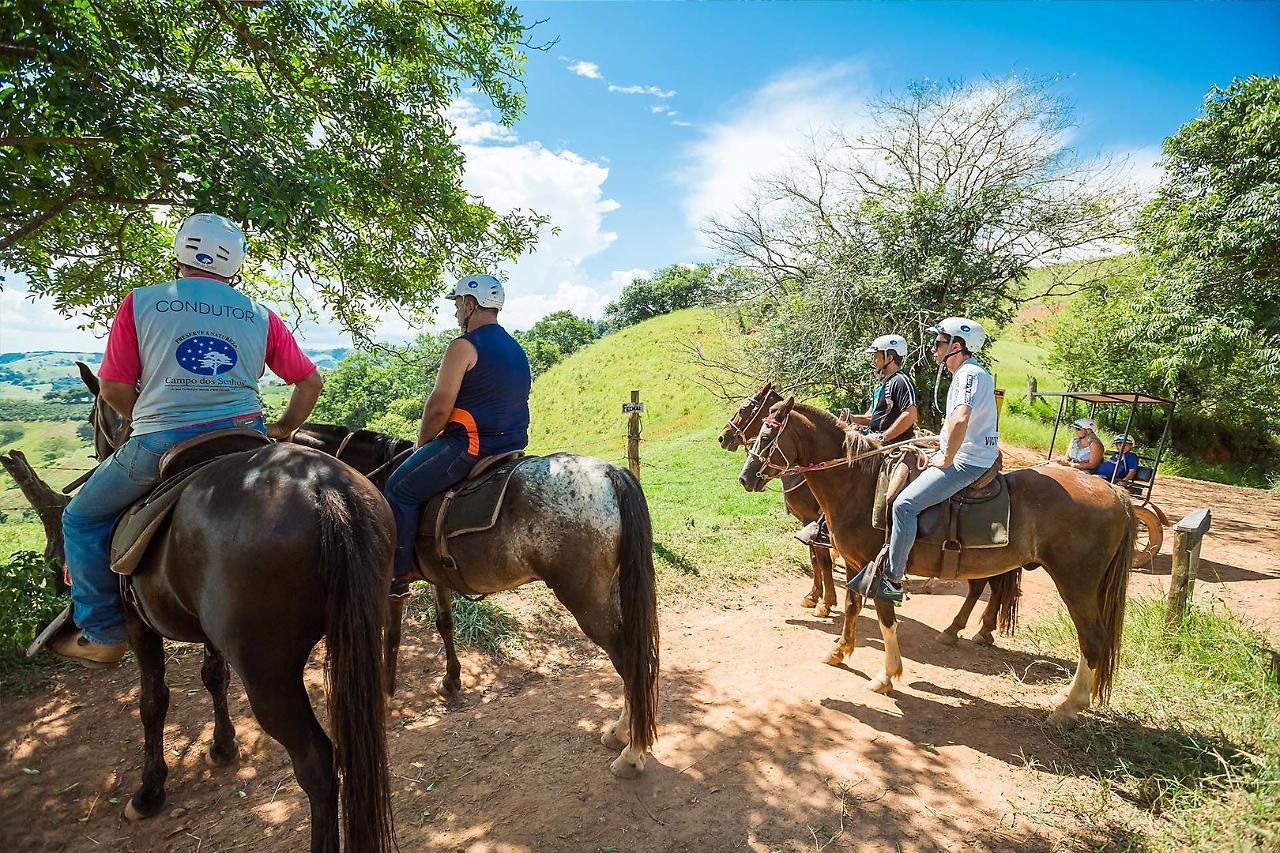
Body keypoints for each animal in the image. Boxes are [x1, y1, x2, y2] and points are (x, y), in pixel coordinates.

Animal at [80, 366, 394, 850]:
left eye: (93, 415)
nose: (98, 453)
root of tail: (325, 490)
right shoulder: (209, 631)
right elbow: (214, 676)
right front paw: (223, 746)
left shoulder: (138, 624)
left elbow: (153, 701)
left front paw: (149, 791)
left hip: (269, 674)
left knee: (318, 764)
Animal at [288, 422, 660, 773]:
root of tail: (610, 473)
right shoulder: (437, 578)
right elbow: (444, 623)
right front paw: (451, 680)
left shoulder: (392, 582)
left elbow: (390, 637)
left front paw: (384, 694)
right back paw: (623, 733)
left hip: (585, 598)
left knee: (628, 659)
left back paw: (631, 752)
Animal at [721, 381, 1018, 640]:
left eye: (747, 409)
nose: (723, 437)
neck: (851, 477)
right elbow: (819, 560)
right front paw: (820, 598)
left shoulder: (813, 523)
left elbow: (821, 560)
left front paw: (822, 602)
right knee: (988, 582)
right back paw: (979, 629)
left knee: (987, 583)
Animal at [737, 394, 1136, 712]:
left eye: (767, 435)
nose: (746, 478)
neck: (859, 483)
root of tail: (1116, 494)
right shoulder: (854, 563)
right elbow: (851, 607)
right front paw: (839, 650)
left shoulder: (877, 568)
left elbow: (885, 619)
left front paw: (887, 675)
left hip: (1076, 584)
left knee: (1092, 638)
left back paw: (1068, 705)